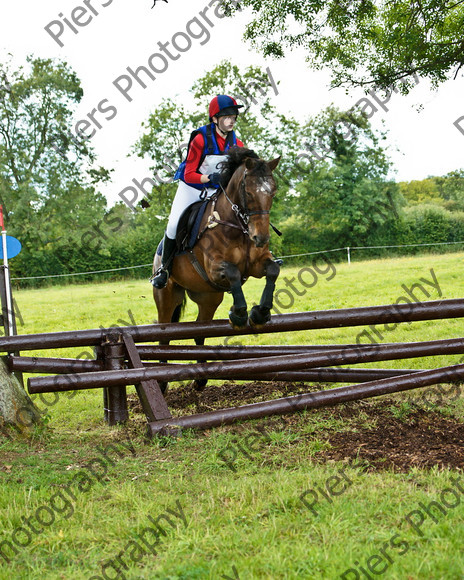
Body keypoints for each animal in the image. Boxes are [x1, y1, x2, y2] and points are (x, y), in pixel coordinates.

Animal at [154, 145, 280, 392]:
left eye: (273, 192)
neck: (237, 225)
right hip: (166, 296)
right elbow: (232, 272)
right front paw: (239, 315)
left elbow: (272, 271)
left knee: (200, 331)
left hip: (208, 297)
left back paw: (201, 378)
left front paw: (260, 313)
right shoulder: (215, 268)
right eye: (248, 193)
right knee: (164, 335)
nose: (260, 238)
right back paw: (162, 382)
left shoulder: (257, 264)